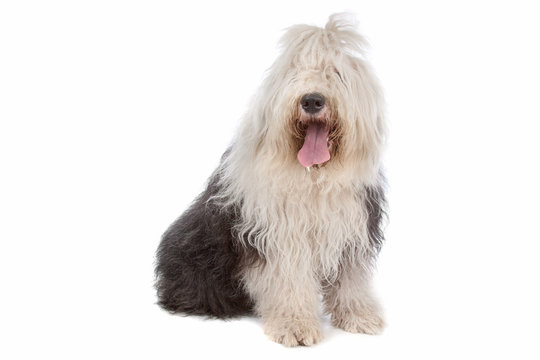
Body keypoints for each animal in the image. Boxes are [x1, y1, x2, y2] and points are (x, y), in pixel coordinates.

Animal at [156, 14, 388, 346]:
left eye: (335, 73)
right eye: (294, 74)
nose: (312, 100)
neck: (313, 177)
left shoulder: (351, 228)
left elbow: (351, 278)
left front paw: (358, 315)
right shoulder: (279, 235)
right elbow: (288, 280)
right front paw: (295, 325)